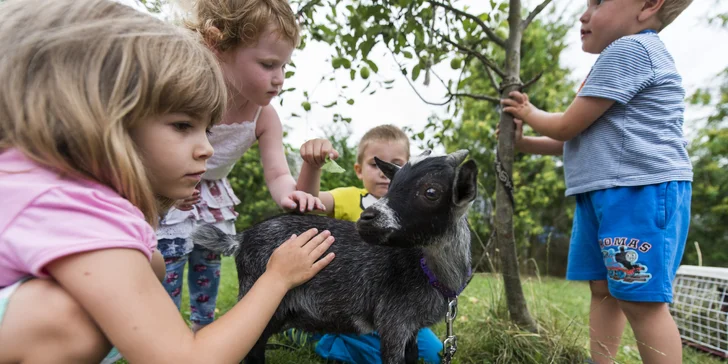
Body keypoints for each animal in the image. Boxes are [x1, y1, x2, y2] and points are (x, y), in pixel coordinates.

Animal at [192, 149, 478, 362]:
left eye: (431, 192)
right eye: (392, 184)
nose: (366, 218)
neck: (428, 271)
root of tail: (242, 238)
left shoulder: (411, 329)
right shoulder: (393, 323)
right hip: (261, 297)